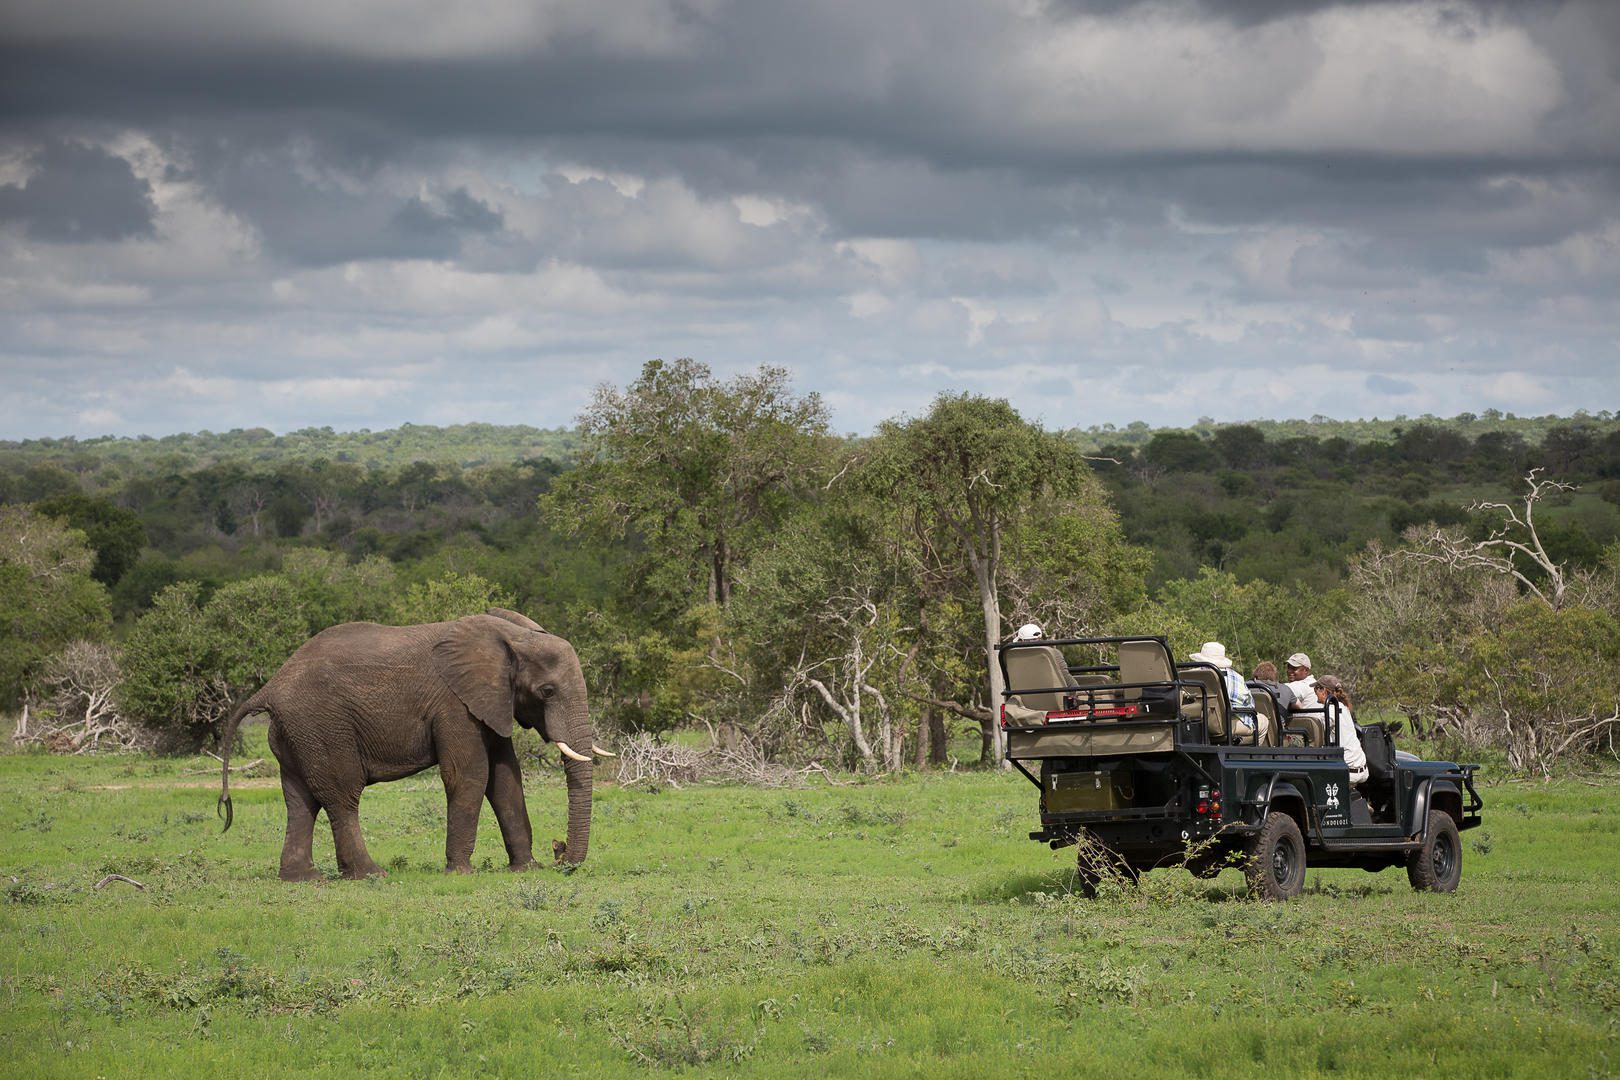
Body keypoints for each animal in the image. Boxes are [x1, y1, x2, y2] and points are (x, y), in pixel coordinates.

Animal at [217, 608, 606, 881]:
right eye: (547, 691)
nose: (559, 852)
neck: (511, 637)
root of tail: (271, 686)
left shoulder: (491, 701)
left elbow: (505, 779)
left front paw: (526, 869)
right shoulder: (454, 704)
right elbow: (469, 775)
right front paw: (460, 874)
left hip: (295, 732)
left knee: (299, 802)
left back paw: (303, 879)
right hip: (321, 725)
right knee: (342, 795)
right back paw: (371, 875)